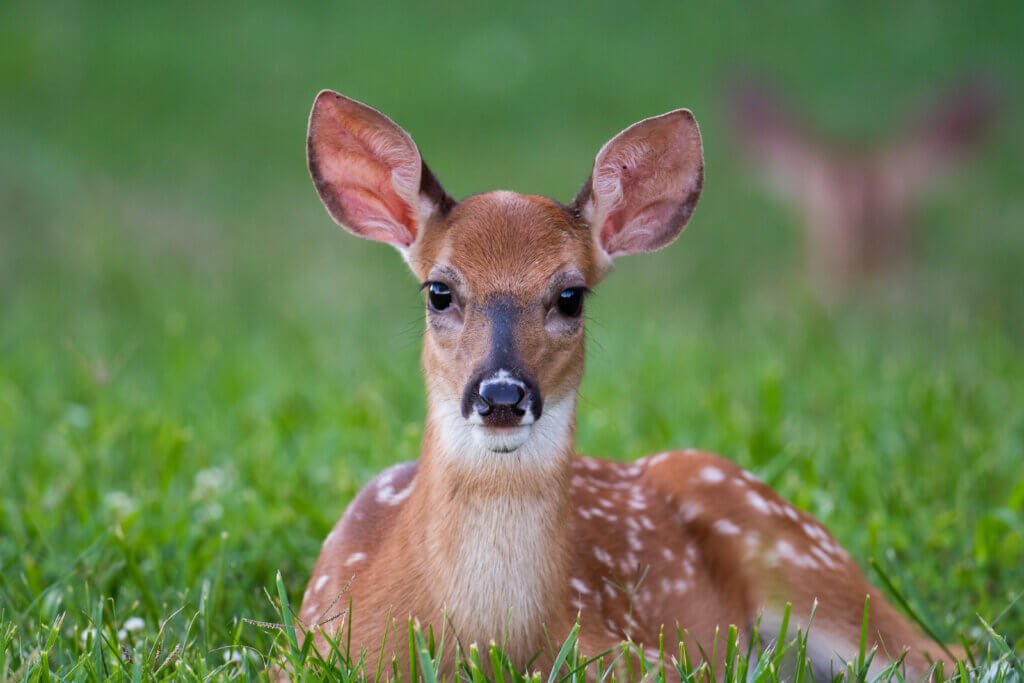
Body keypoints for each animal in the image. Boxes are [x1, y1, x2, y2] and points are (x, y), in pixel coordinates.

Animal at [294, 90, 964, 679]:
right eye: (439, 291)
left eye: (570, 295)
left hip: (807, 559)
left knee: (951, 655)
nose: (502, 396)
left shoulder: (641, 660)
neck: (489, 643)